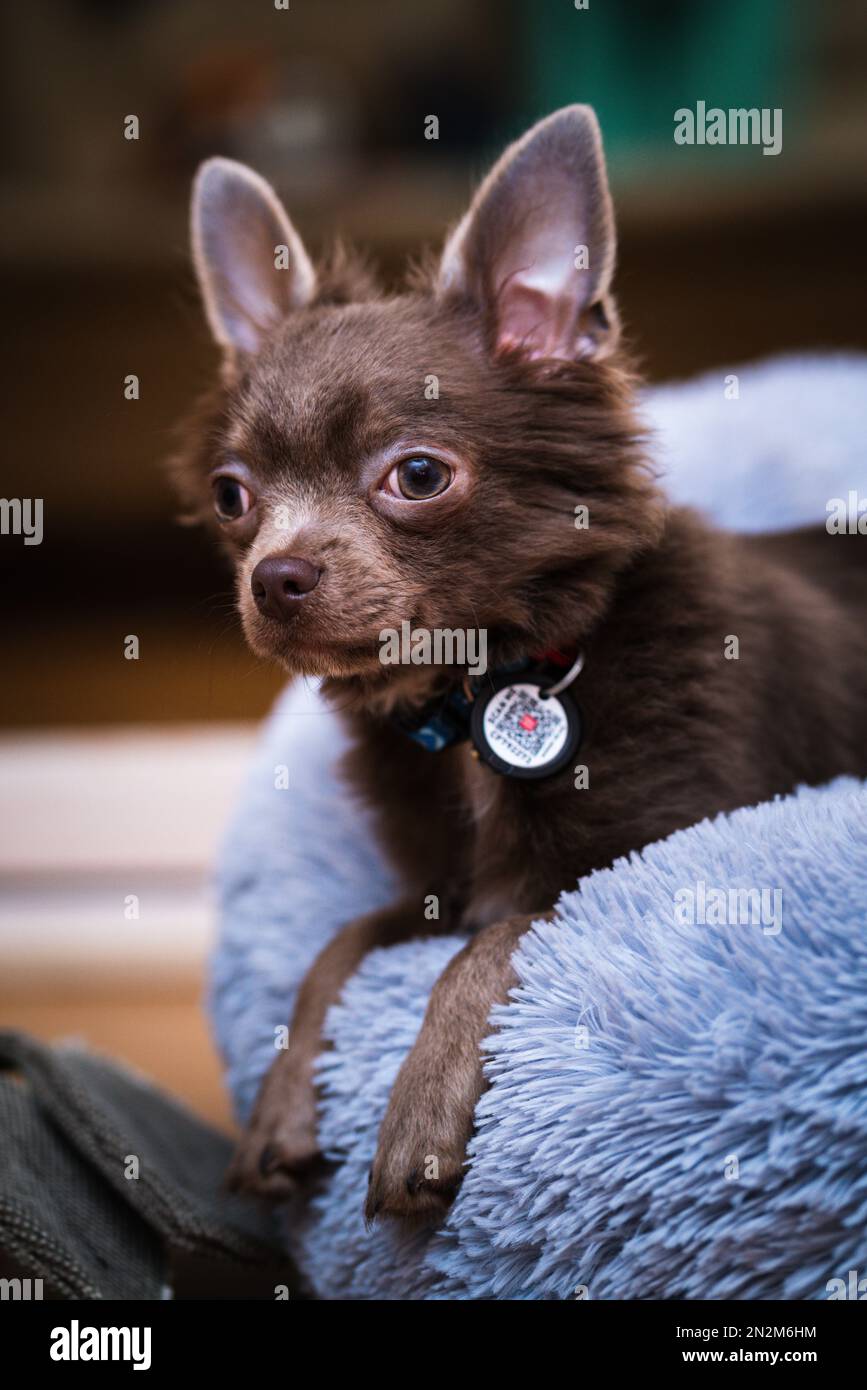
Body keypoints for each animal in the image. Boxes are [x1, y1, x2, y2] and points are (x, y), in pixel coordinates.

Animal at [176, 105, 867, 1217]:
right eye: (232, 495)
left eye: (417, 475)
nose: (273, 576)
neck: (471, 690)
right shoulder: (438, 887)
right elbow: (338, 943)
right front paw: (280, 1103)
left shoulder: (647, 855)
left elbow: (494, 940)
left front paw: (415, 1115)